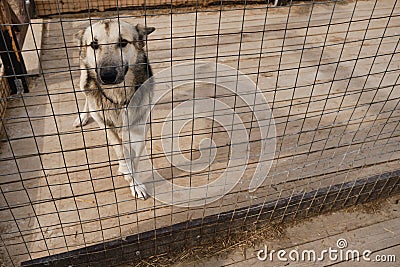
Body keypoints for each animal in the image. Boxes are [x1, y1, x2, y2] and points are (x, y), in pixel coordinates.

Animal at [73, 18, 155, 200]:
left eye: (123, 42)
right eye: (94, 44)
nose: (107, 76)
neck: (118, 95)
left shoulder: (140, 127)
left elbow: (135, 157)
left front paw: (135, 181)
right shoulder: (107, 127)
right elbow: (120, 150)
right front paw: (126, 170)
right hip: (84, 80)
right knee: (86, 96)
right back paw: (83, 116)